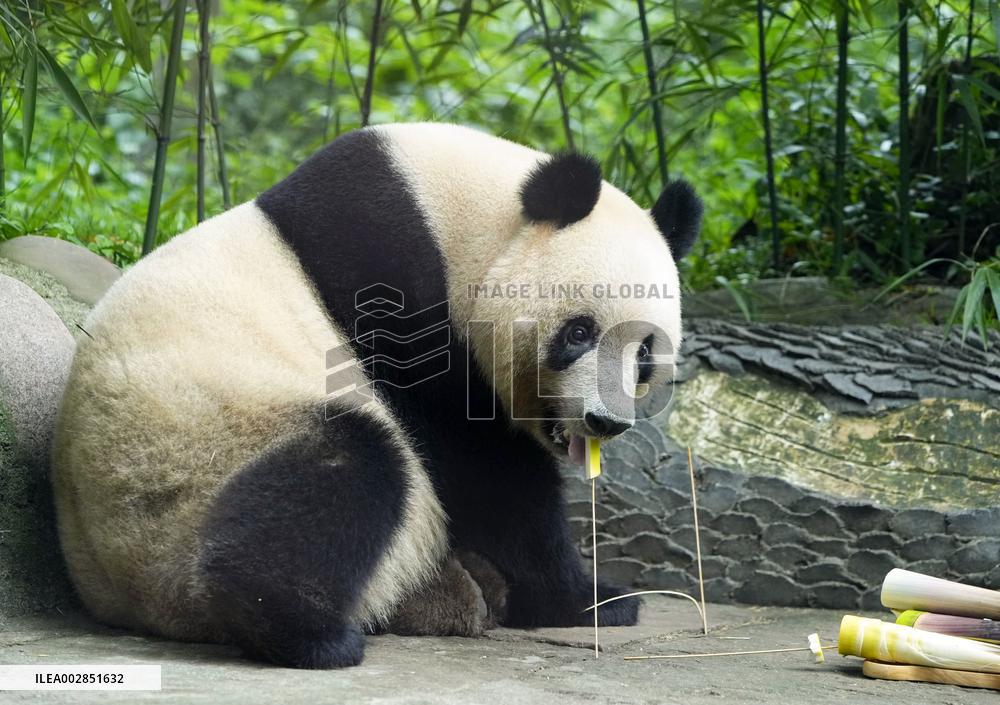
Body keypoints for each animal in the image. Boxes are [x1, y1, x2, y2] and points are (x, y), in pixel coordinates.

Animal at [51, 122, 702, 669]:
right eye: (579, 332)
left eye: (646, 352)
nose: (605, 421)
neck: (462, 217)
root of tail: (117, 590)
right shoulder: (394, 282)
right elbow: (483, 466)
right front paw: (592, 599)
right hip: (192, 452)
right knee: (345, 470)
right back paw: (311, 633)